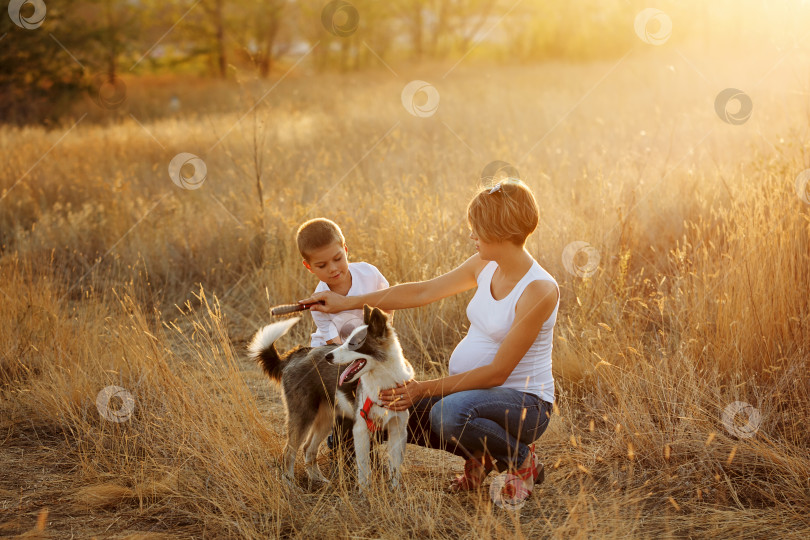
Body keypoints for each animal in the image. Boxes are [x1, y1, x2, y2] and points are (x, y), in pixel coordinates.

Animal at [248, 306, 414, 488]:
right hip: (303, 416)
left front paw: (395, 490)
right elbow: (364, 469)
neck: (383, 381)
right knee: (289, 451)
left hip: (326, 418)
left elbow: (395, 469)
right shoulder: (361, 429)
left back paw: (318, 479)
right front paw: (365, 492)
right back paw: (290, 484)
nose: (328, 357)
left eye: (353, 343)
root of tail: (294, 355)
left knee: (308, 448)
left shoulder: (398, 430)